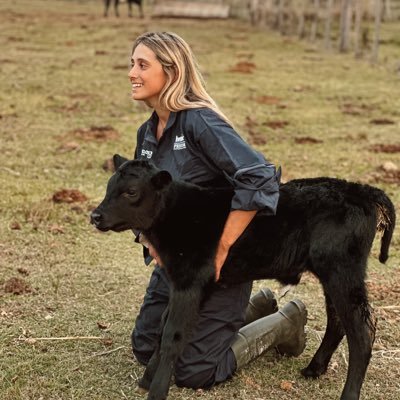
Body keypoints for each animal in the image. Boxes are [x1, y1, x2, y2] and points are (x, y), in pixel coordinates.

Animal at [92, 154, 396, 400]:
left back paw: (348, 392)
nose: (96, 215)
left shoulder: (190, 282)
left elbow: (172, 336)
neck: (179, 212)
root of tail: (362, 190)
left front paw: (156, 390)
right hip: (332, 274)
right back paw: (313, 368)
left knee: (362, 330)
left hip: (342, 272)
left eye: (131, 192)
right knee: (338, 321)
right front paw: (147, 379)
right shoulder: (182, 282)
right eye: (109, 187)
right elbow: (162, 328)